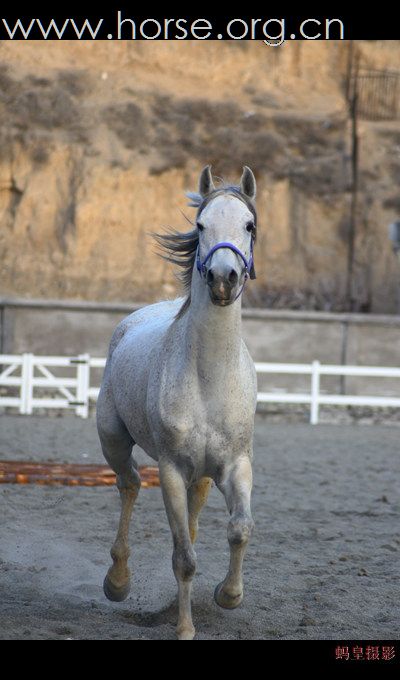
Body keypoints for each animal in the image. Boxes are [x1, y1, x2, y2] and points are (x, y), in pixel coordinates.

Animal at [97, 165, 260, 636]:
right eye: (201, 225)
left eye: (249, 225)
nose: (223, 278)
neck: (209, 379)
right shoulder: (170, 470)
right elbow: (183, 557)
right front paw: (185, 629)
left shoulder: (236, 465)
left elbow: (239, 528)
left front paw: (228, 596)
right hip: (113, 440)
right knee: (130, 484)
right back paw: (117, 582)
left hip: (201, 474)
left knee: (193, 512)